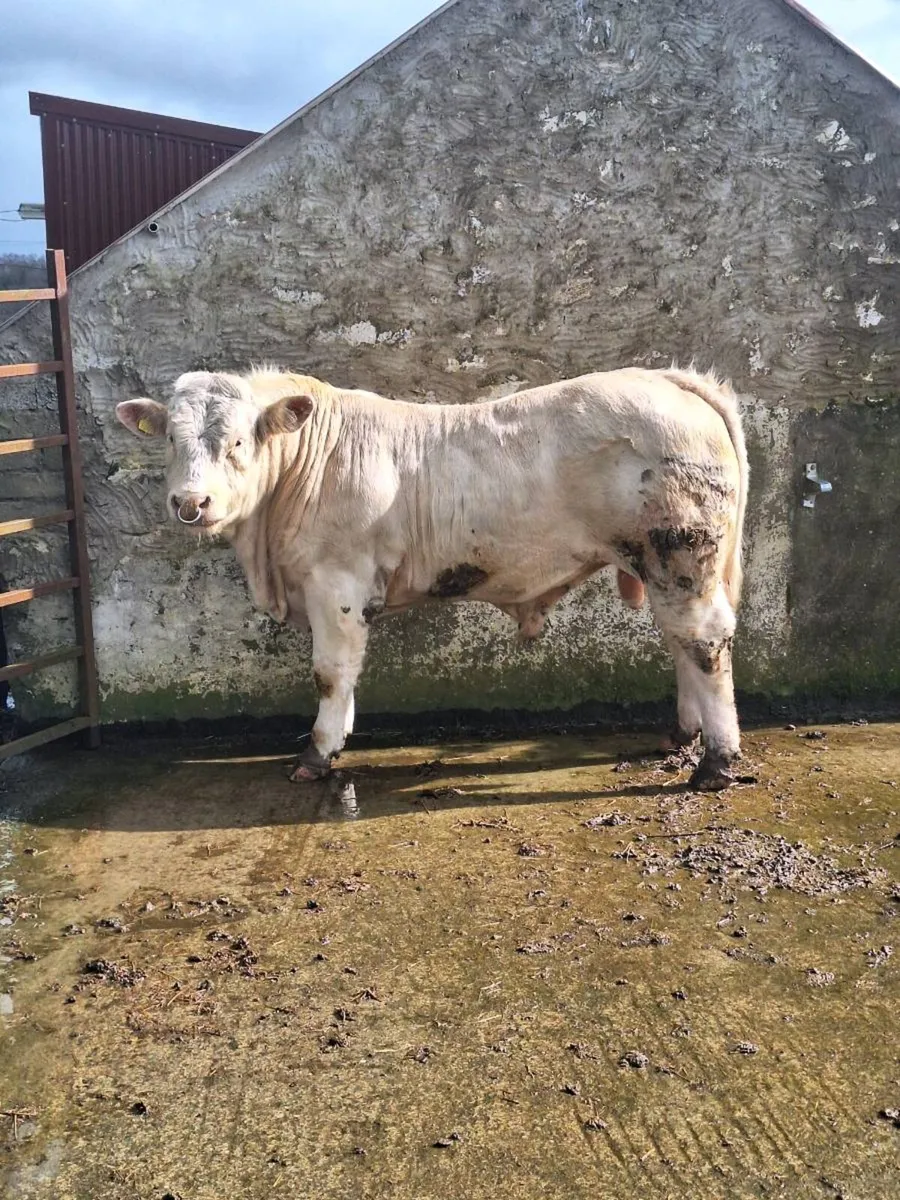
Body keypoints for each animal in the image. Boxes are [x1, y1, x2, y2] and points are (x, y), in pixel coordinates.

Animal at [116, 364, 748, 791]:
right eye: (170, 439)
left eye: (238, 440)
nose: (190, 502)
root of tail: (667, 379)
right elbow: (348, 676)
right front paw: (341, 734)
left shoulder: (336, 584)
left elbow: (330, 672)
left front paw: (318, 753)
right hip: (667, 567)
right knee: (679, 641)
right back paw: (682, 733)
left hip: (682, 556)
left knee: (704, 641)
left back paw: (715, 762)